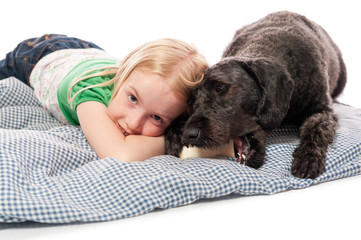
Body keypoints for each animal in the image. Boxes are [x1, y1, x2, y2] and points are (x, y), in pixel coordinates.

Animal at [165, 11, 346, 179]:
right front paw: (174, 130)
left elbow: (316, 129)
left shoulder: (322, 110)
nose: (189, 134)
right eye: (192, 100)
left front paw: (308, 156)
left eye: (220, 86)